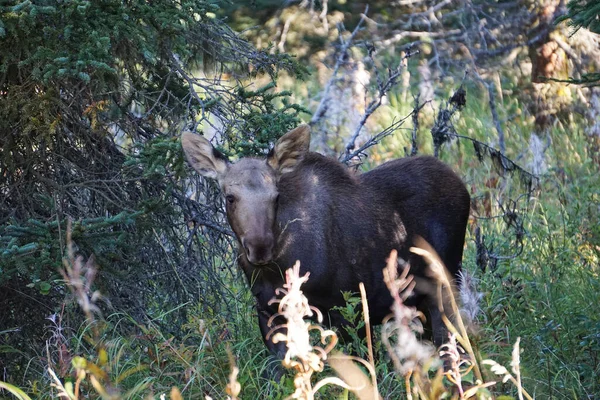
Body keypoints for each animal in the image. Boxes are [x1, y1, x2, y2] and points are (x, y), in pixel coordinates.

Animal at [180, 126, 472, 360]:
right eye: (230, 197)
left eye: (276, 197)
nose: (260, 247)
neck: (279, 268)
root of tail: (462, 185)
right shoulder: (268, 312)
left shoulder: (349, 308)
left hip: (446, 280)